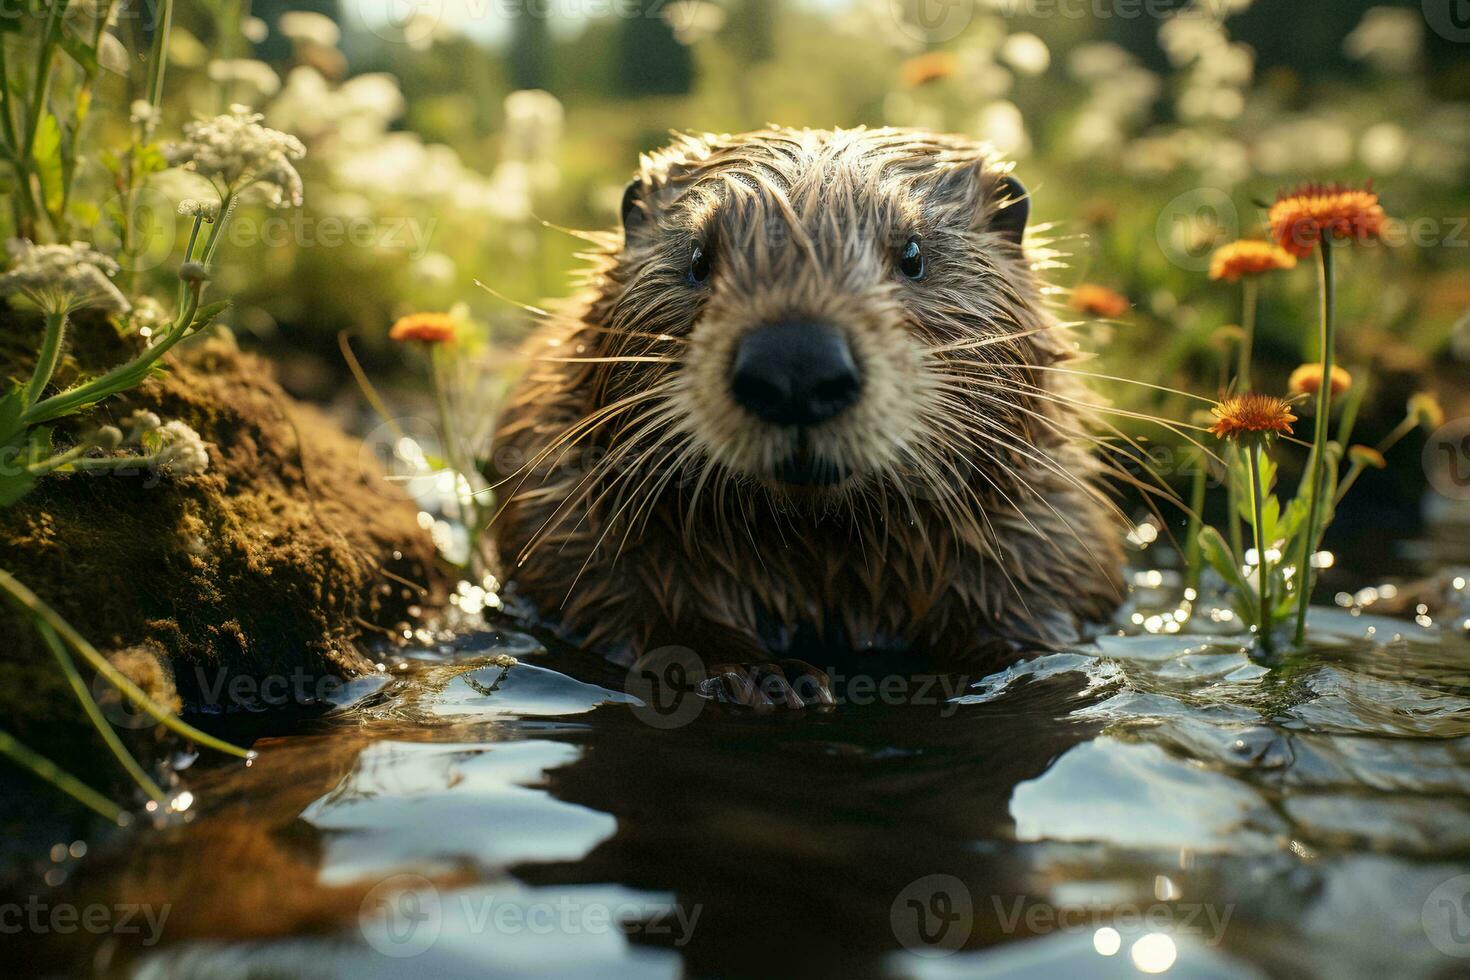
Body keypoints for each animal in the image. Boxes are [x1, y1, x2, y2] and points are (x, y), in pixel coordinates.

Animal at [493, 126, 1123, 705]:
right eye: (697, 259)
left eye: (914, 255)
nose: (796, 363)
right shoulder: (570, 517)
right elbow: (625, 597)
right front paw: (766, 677)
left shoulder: (1050, 538)